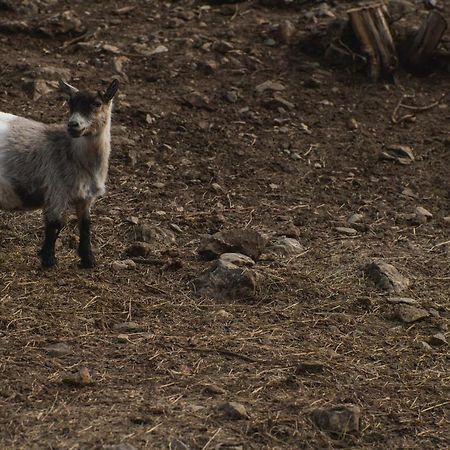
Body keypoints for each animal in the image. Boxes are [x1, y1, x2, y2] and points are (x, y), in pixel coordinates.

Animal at [0, 78, 119, 268]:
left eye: (97, 103)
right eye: (70, 102)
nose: (72, 125)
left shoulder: (85, 197)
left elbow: (85, 225)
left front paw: (88, 260)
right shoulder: (56, 190)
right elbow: (54, 224)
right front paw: (49, 260)